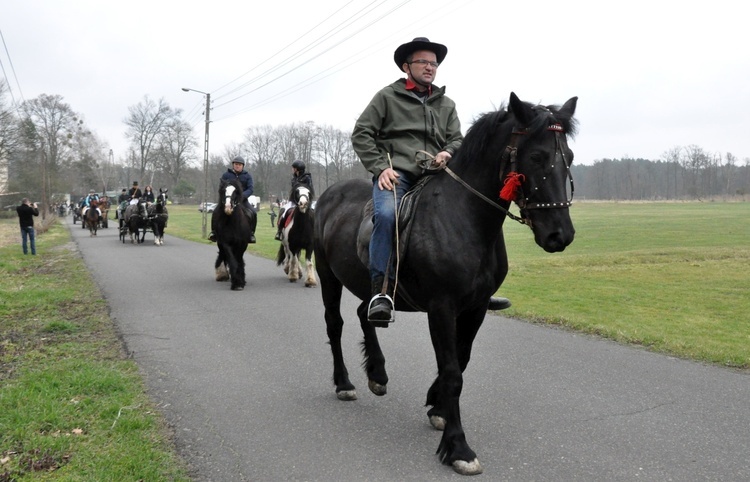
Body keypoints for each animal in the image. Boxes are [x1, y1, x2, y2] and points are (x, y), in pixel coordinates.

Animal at [314, 93, 580, 474]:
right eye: (536, 156)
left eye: (568, 157)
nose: (560, 234)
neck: (465, 217)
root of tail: (328, 194)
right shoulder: (441, 307)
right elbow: (452, 370)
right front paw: (458, 447)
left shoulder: (476, 307)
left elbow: (461, 360)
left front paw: (436, 404)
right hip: (327, 276)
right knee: (335, 324)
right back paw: (344, 382)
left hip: (372, 286)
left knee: (367, 312)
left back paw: (377, 374)